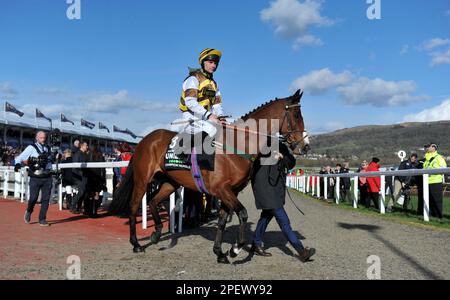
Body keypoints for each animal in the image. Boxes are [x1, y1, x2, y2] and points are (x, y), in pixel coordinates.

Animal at [109, 89, 310, 262]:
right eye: (297, 115)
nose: (305, 146)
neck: (236, 145)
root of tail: (145, 140)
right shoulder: (221, 189)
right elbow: (243, 214)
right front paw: (235, 249)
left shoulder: (231, 191)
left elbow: (222, 221)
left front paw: (219, 253)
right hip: (142, 180)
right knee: (134, 206)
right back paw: (136, 243)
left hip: (170, 182)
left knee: (152, 200)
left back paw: (156, 234)